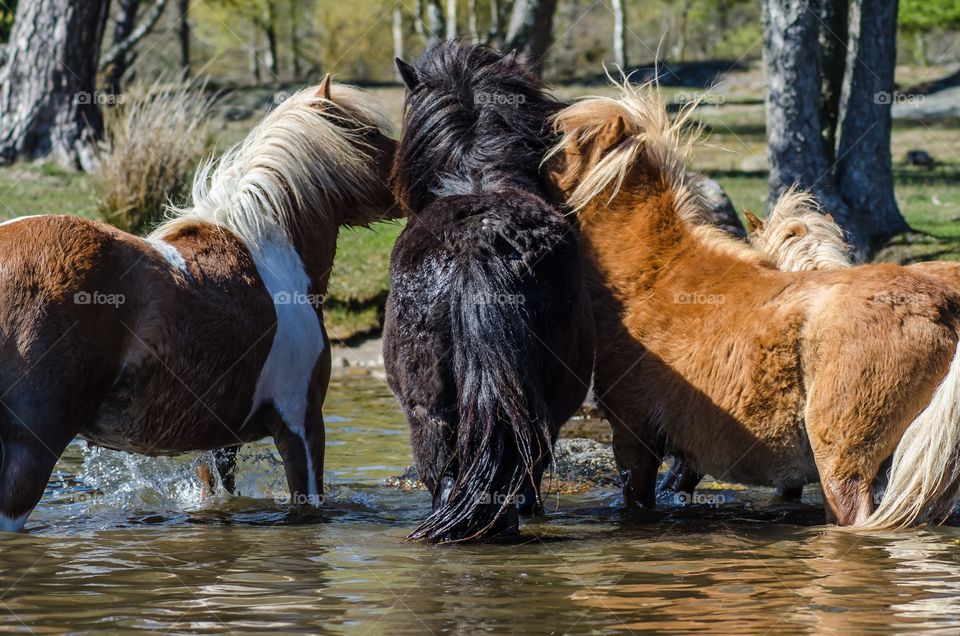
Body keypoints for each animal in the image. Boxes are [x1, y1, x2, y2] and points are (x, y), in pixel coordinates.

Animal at [548, 78, 960, 528]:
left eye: (564, 143)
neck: (652, 274)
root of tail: (941, 305)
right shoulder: (693, 457)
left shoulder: (634, 438)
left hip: (844, 473)